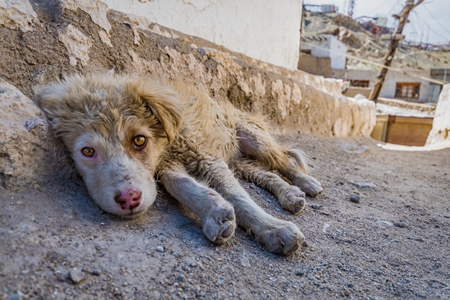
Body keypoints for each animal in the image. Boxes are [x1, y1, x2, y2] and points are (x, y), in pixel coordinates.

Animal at [35, 73, 324, 255]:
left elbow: (239, 197)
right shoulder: (167, 167)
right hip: (237, 159)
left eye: (139, 140)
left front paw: (272, 228)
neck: (166, 142)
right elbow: (182, 185)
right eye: (88, 151)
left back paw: (306, 183)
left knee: (284, 160)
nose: (129, 199)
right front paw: (213, 211)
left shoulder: (205, 157)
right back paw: (290, 194)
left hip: (252, 138)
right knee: (265, 174)